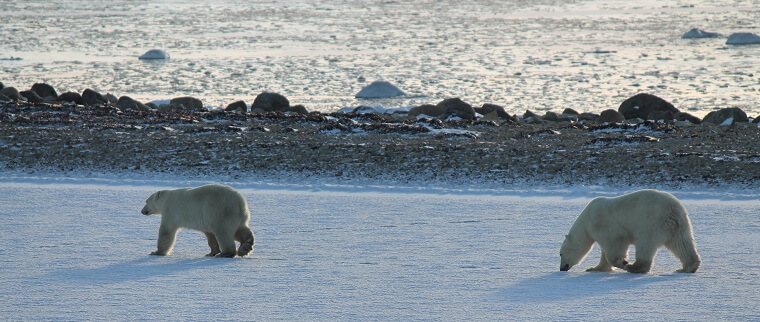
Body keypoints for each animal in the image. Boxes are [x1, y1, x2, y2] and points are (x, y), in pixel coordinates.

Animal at [560, 189, 700, 274]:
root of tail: (674, 210)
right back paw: (687, 268)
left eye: (561, 254)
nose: (562, 268)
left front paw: (623, 262)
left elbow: (614, 247)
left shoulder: (605, 226)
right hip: (680, 226)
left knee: (645, 244)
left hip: (652, 223)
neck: (587, 219)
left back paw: (634, 267)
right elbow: (604, 253)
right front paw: (594, 268)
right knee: (682, 244)